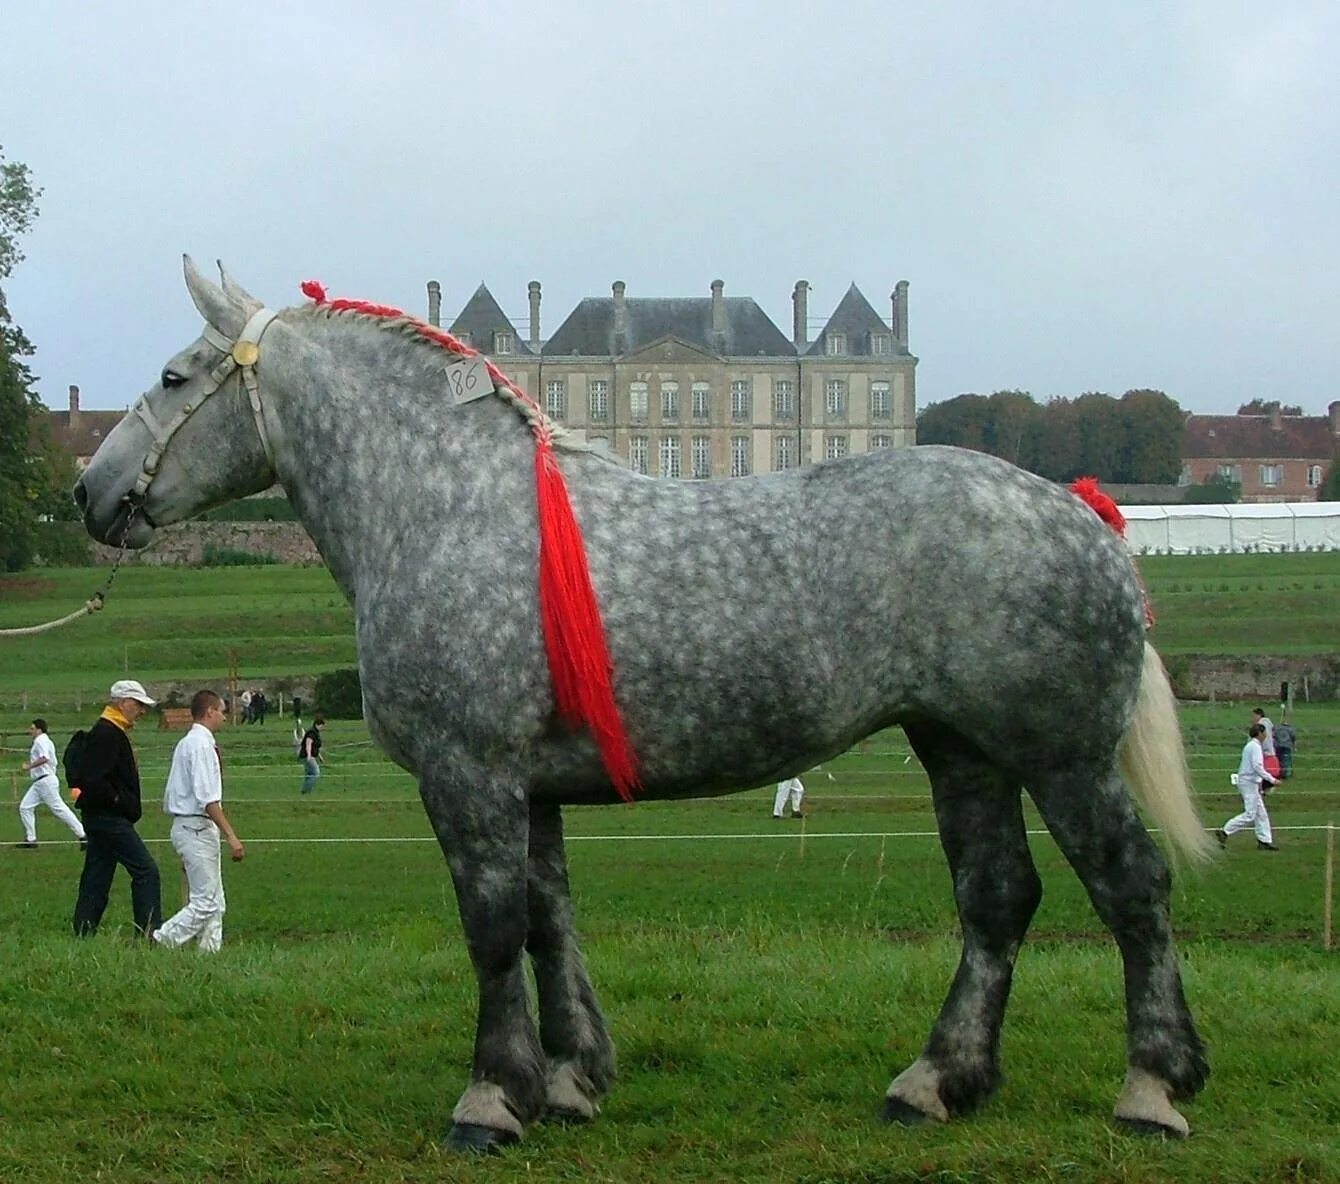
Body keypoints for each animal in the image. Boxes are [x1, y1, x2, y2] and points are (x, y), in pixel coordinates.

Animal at [78, 258, 1222, 1146]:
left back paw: (1151, 1085)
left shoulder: (469, 776)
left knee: (1132, 889)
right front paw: (569, 1079)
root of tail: (1078, 511)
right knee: (997, 898)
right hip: (961, 751)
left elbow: (492, 928)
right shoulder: (530, 788)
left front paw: (491, 1097)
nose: (91, 490)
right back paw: (936, 1080)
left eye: (175, 374)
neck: (452, 507)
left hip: (1061, 759)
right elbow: (549, 924)